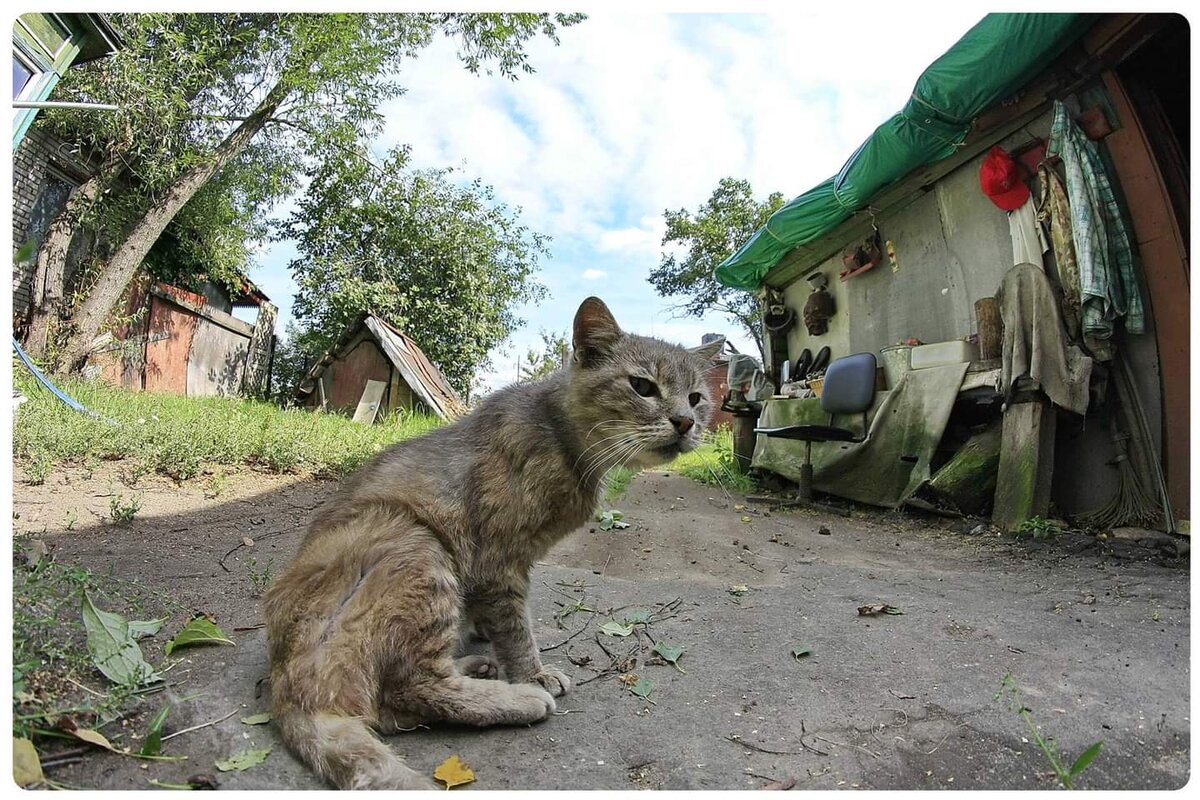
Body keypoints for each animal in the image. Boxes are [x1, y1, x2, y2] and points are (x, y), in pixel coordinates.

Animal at [267, 298, 715, 786]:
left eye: (696, 398)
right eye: (642, 386)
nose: (685, 422)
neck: (562, 438)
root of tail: (287, 686)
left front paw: (488, 636)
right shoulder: (497, 562)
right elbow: (516, 628)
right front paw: (532, 674)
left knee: (393, 707)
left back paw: (476, 666)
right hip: (416, 543)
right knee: (413, 688)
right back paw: (516, 697)